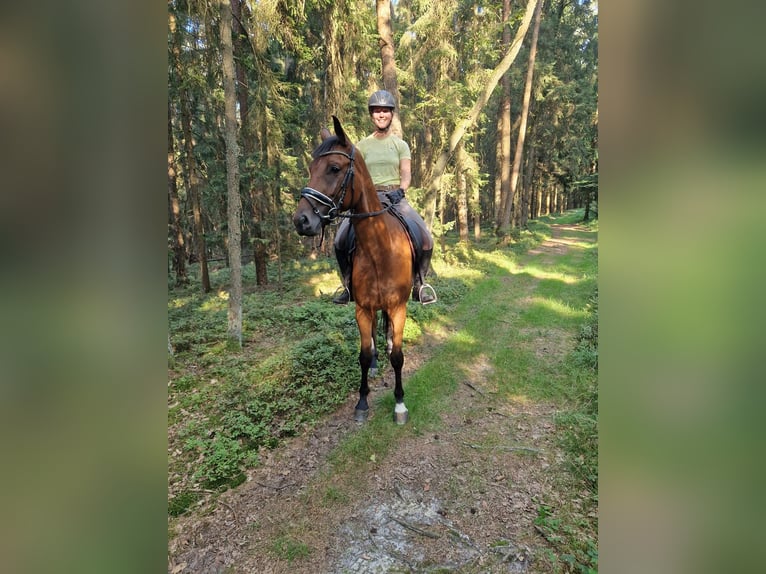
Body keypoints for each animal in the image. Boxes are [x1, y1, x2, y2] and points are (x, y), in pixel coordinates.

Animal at [292, 116, 413, 424]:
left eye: (334, 168)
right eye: (310, 168)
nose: (301, 221)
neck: (379, 248)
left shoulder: (399, 307)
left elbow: (398, 356)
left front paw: (400, 404)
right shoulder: (362, 308)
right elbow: (363, 354)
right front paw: (362, 402)